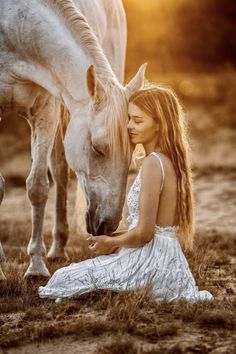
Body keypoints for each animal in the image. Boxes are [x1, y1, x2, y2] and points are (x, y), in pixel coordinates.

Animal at [0, 0, 147, 280]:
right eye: (97, 148)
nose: (107, 225)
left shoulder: (45, 108)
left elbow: (38, 187)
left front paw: (36, 267)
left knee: (59, 172)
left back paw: (58, 249)